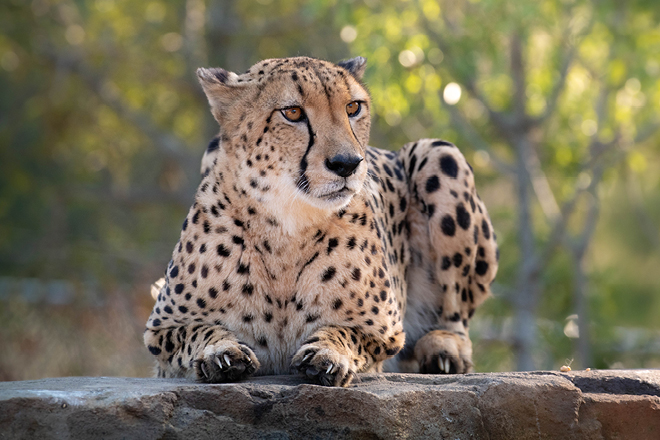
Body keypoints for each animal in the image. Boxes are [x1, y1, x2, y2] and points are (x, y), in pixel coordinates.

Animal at [144, 56, 498, 387]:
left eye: (353, 107)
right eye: (293, 113)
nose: (347, 164)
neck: (285, 225)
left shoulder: (386, 331)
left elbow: (346, 332)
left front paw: (327, 354)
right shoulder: (159, 331)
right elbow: (197, 331)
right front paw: (221, 351)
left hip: (440, 153)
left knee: (455, 314)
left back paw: (443, 348)